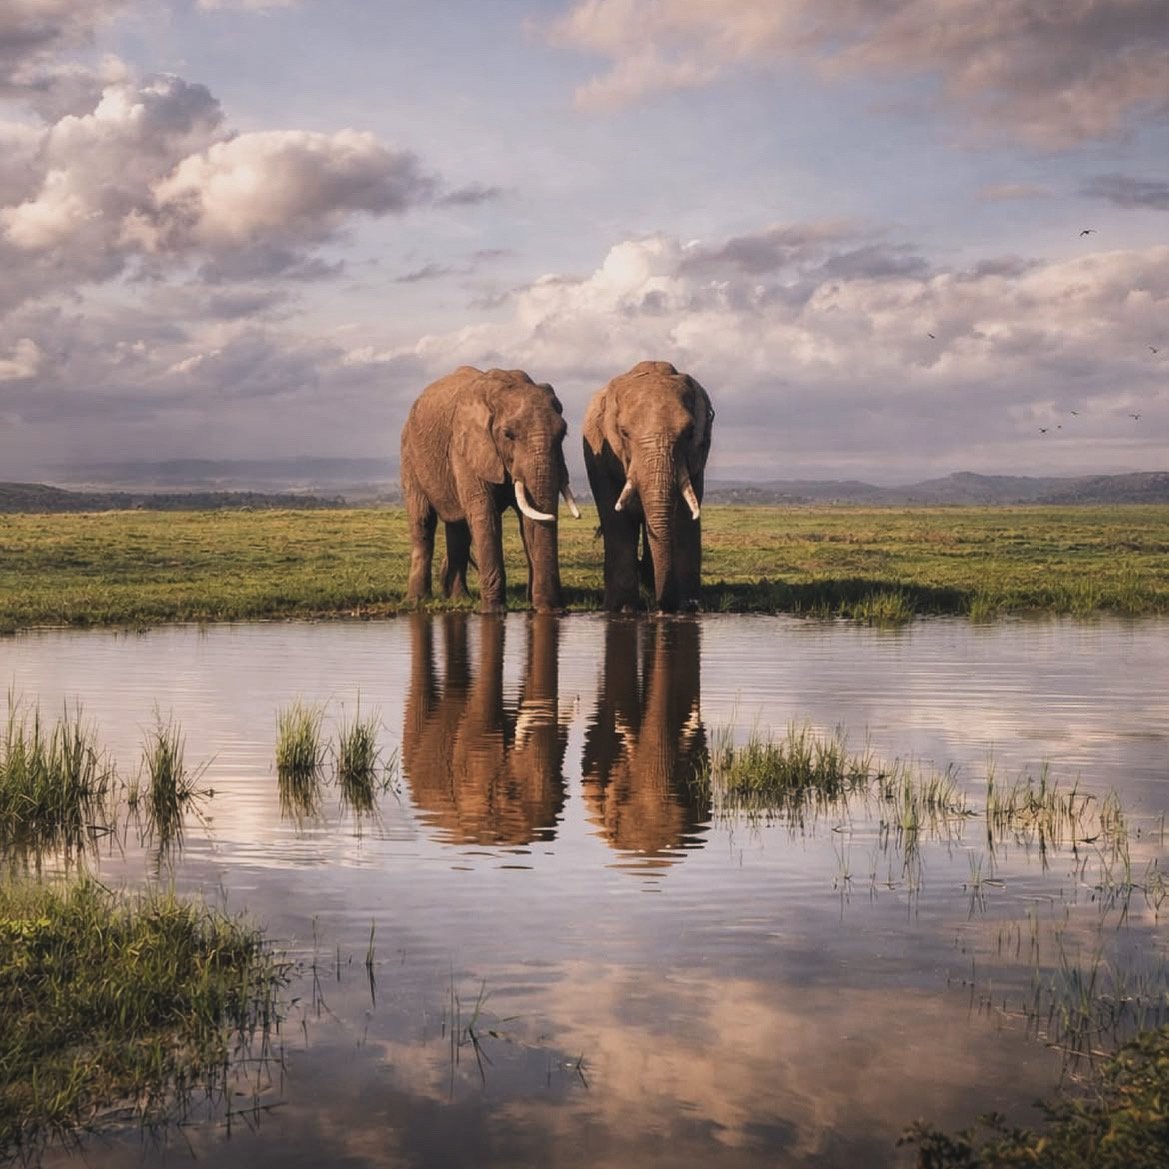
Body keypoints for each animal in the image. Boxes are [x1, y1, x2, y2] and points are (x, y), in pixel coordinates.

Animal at [401, 366, 580, 614]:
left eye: (563, 434)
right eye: (508, 435)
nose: (557, 609)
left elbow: (529, 520)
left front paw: (543, 610)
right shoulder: (465, 448)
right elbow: (485, 515)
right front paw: (493, 612)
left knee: (459, 530)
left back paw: (460, 599)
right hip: (410, 456)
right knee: (423, 522)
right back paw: (417, 601)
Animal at [582, 360, 713, 612]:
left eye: (690, 432)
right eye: (624, 433)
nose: (663, 607)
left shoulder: (696, 457)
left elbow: (684, 517)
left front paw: (688, 608)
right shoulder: (601, 458)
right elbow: (616, 517)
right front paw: (622, 609)